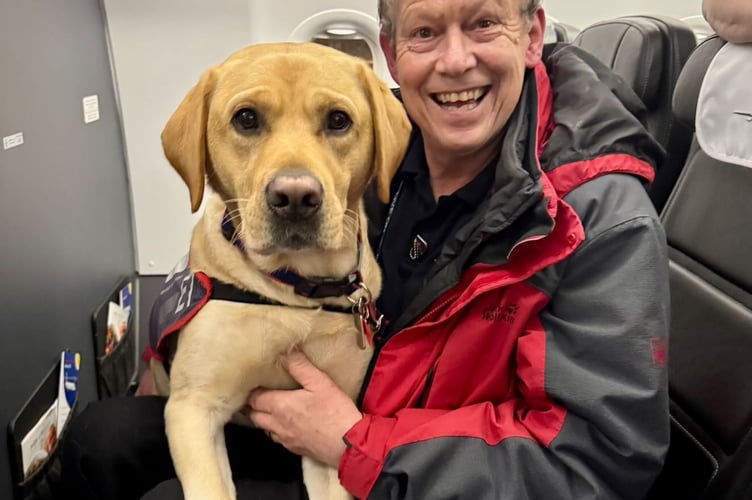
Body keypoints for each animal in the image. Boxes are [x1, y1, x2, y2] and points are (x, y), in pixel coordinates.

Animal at [151, 44, 412, 500]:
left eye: (338, 120)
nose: (294, 197)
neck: (295, 291)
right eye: (246, 119)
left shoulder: (324, 425)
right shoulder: (193, 408)